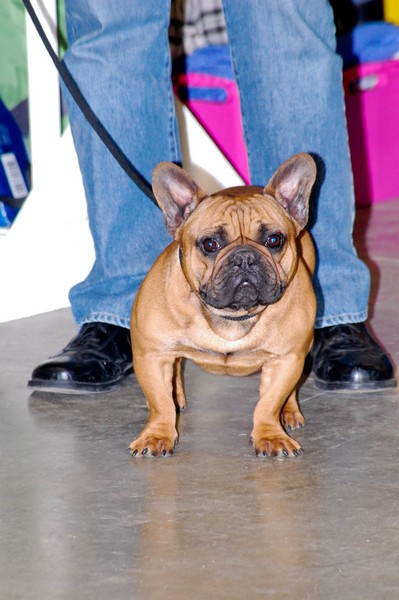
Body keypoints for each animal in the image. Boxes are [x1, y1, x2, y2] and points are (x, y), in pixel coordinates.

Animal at [130, 152, 318, 458]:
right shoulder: (152, 355)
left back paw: (289, 412)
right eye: (210, 244)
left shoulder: (287, 359)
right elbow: (160, 401)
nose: (244, 258)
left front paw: (271, 434)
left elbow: (269, 403)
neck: (232, 316)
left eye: (274, 240)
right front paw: (157, 435)